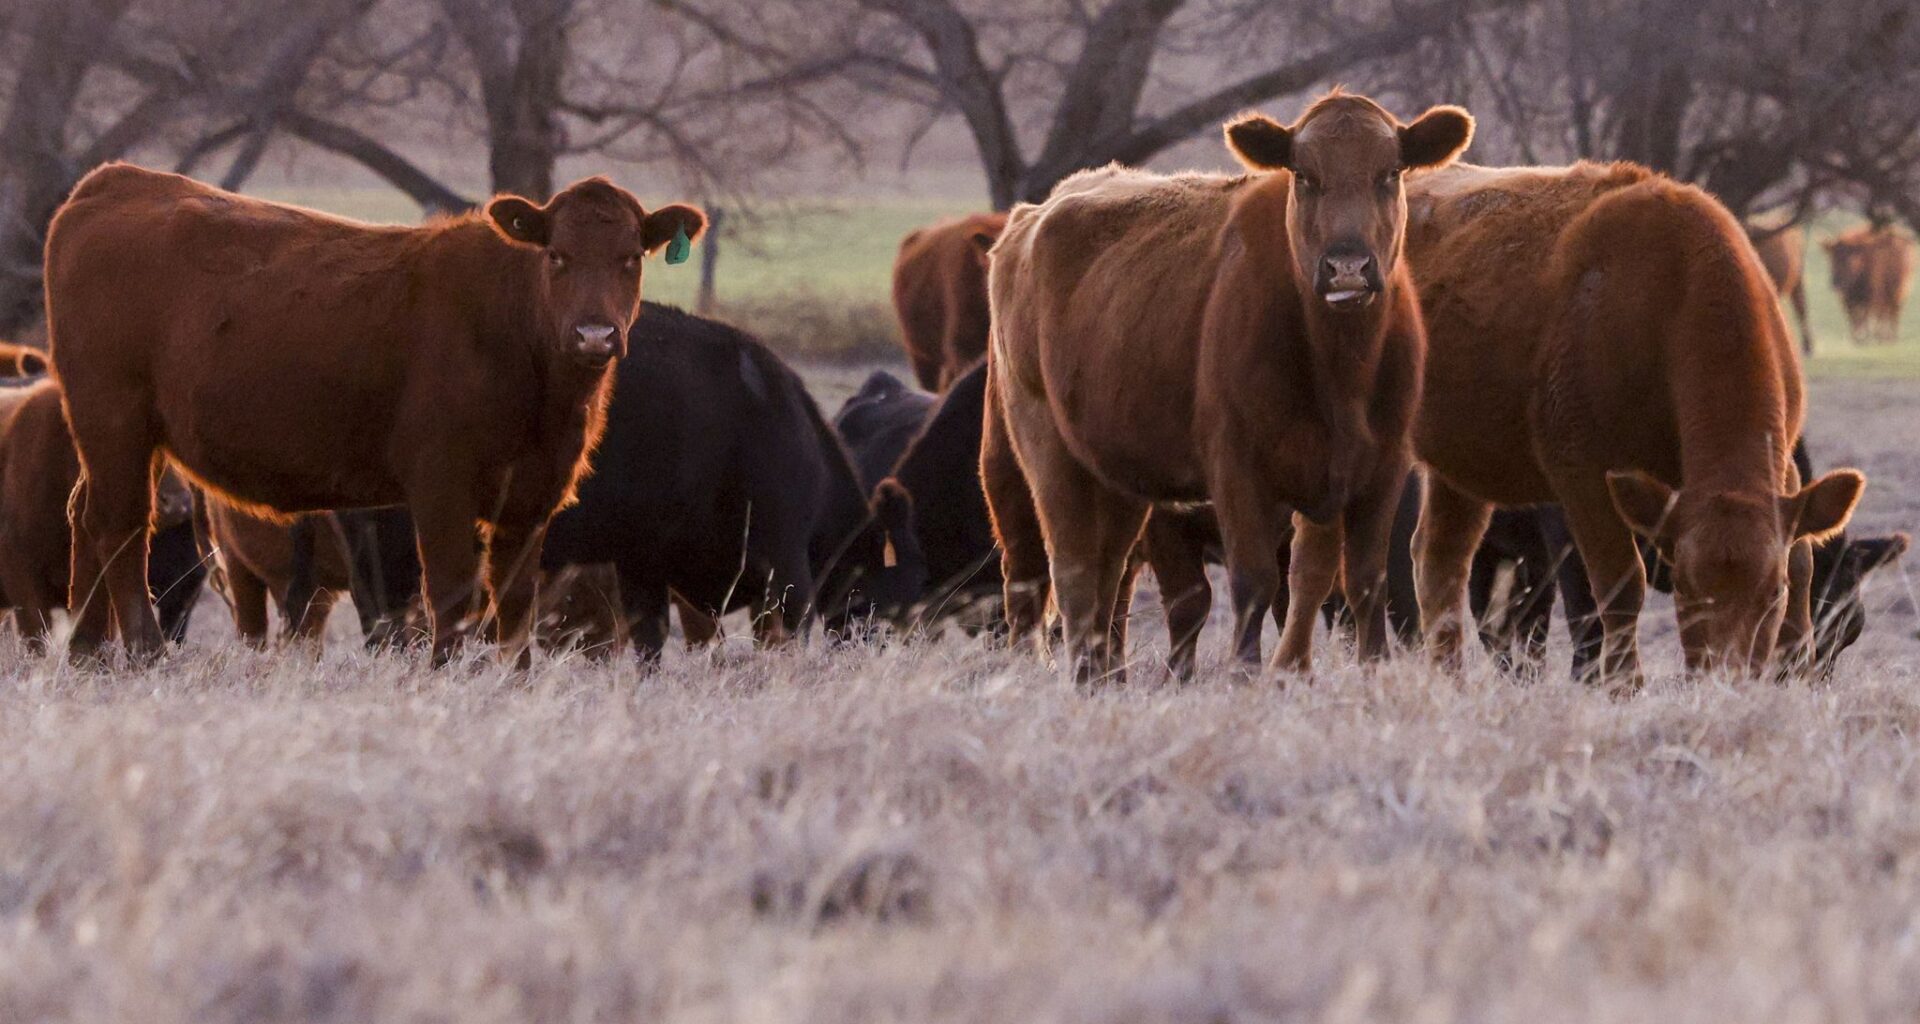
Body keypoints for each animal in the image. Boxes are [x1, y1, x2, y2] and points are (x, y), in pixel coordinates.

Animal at [42, 163, 704, 664]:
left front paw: (514, 682)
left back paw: (85, 654)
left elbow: (514, 603)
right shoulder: (440, 481)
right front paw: (448, 676)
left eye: (630, 258)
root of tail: (116, 181)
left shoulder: (533, 493)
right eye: (558, 256)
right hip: (113, 415)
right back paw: (144, 654)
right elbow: (452, 593)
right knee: (120, 524)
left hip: (135, 433)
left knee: (84, 514)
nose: (594, 335)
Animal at [983, 92, 1475, 684]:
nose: (1347, 266)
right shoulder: (1238, 468)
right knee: (1067, 569)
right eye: (1304, 175)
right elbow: (1253, 582)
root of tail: (1031, 217)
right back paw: (1079, 675)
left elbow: (1362, 580)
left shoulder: (1380, 467)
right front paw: (1244, 675)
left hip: (1117, 473)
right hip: (1042, 452)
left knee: (1107, 570)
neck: (1340, 371)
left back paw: (1103, 677)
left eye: (1390, 172)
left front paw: (1372, 670)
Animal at [1405, 161, 1864, 691]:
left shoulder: (1784, 470)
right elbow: (1619, 585)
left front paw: (1793, 675)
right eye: (1684, 588)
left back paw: (1450, 680)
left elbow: (1804, 565)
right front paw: (1623, 685)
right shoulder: (1582, 475)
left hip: (1461, 468)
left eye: (1774, 592)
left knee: (1440, 560)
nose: (1725, 677)